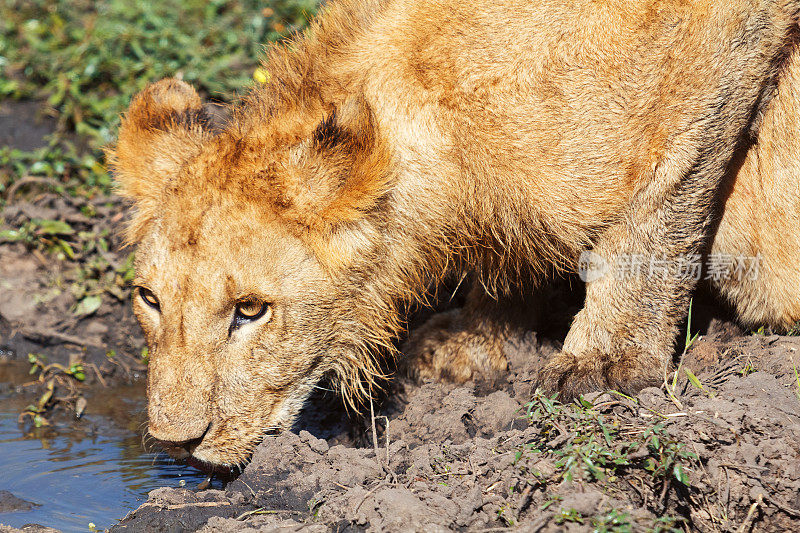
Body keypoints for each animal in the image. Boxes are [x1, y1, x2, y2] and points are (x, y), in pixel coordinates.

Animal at [108, 0, 800, 466]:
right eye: (149, 299)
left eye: (251, 310)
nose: (174, 444)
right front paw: (475, 344)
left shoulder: (720, 47)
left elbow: (662, 208)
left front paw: (606, 366)